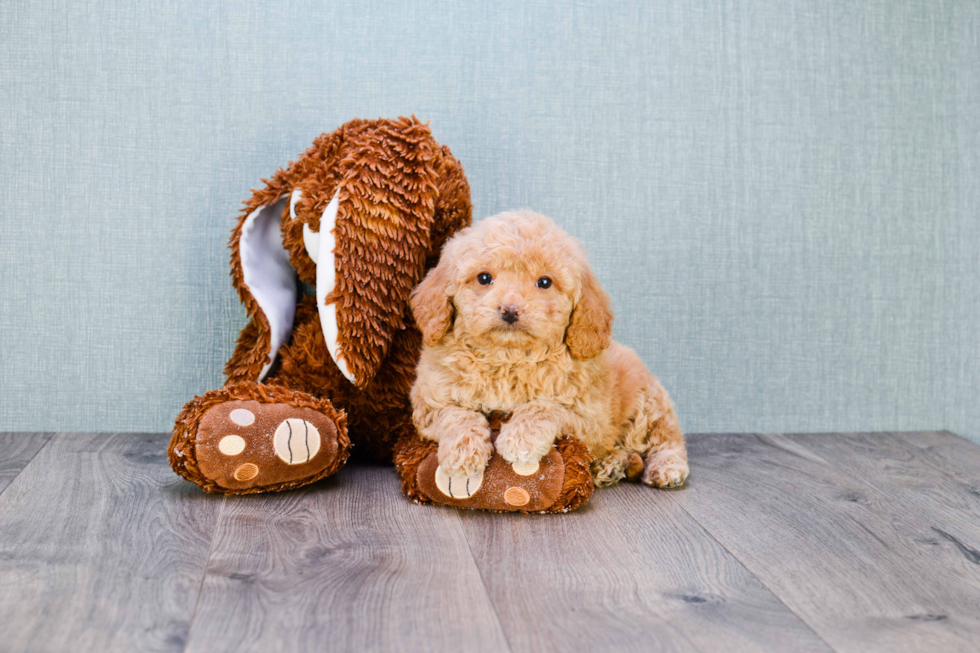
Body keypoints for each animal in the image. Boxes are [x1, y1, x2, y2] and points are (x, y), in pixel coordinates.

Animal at [406, 211, 688, 486]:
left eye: (544, 282)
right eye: (484, 278)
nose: (510, 310)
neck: (508, 358)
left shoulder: (590, 418)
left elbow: (544, 407)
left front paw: (519, 439)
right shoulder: (427, 405)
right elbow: (456, 414)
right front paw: (462, 451)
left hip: (648, 404)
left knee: (666, 439)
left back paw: (667, 467)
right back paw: (609, 467)